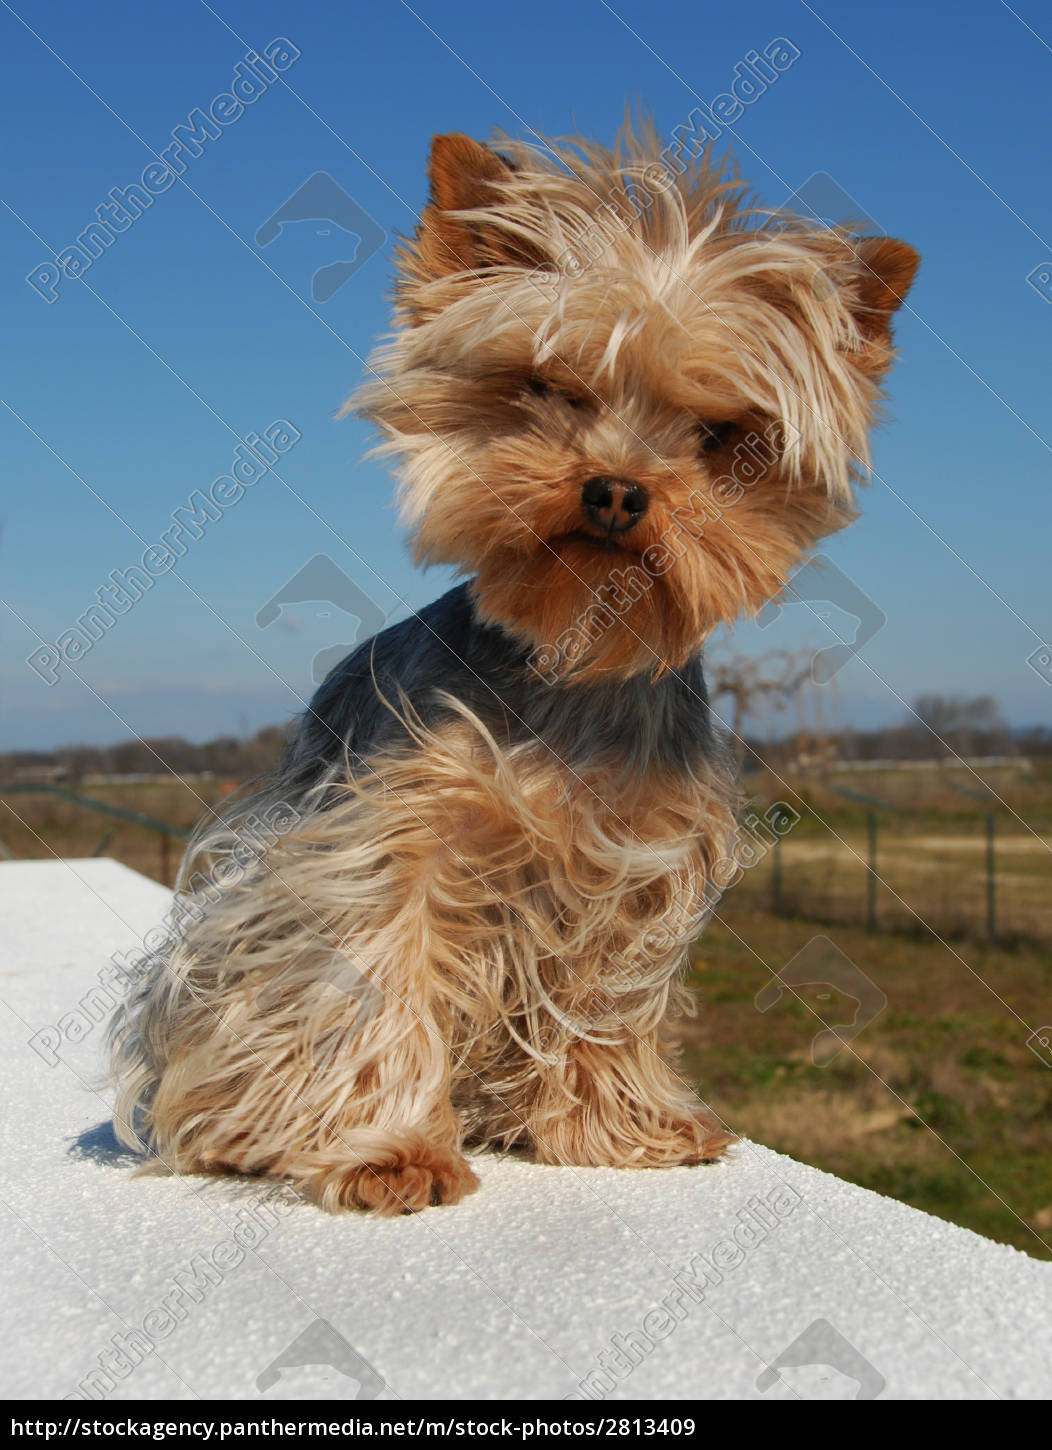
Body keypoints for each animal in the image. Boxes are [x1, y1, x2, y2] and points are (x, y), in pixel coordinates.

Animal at [105, 124, 915, 1212]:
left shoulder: (635, 866)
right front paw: (390, 1151)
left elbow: (606, 1002)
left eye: (720, 436)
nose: (615, 491)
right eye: (550, 391)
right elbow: (377, 973)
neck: (573, 655)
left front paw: (623, 1130)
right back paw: (248, 1136)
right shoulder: (383, 841)